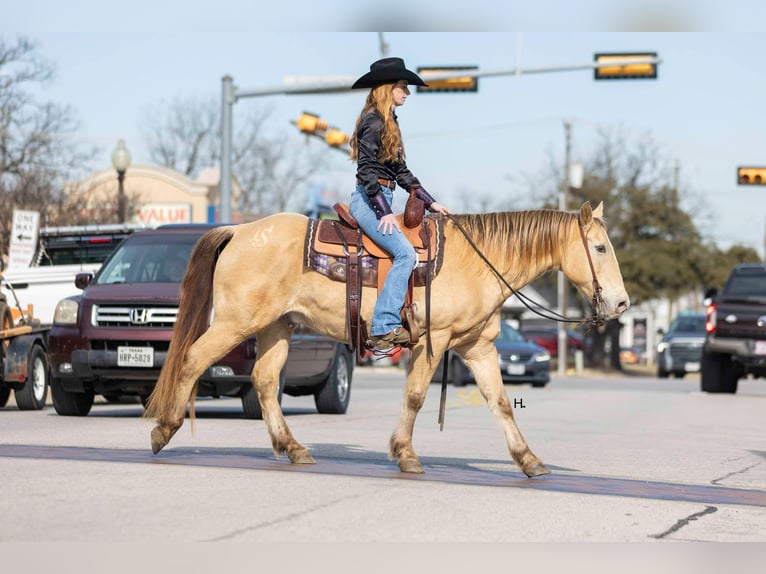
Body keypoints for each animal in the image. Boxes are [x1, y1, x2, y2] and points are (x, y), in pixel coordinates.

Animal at [144, 201, 629, 478]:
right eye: (600, 248)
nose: (622, 303)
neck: (479, 260)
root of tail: (239, 232)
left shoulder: (477, 346)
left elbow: (500, 402)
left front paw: (529, 460)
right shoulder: (435, 339)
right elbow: (415, 396)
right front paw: (406, 454)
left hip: (277, 326)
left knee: (264, 381)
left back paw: (294, 448)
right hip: (235, 322)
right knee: (192, 359)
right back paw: (163, 430)